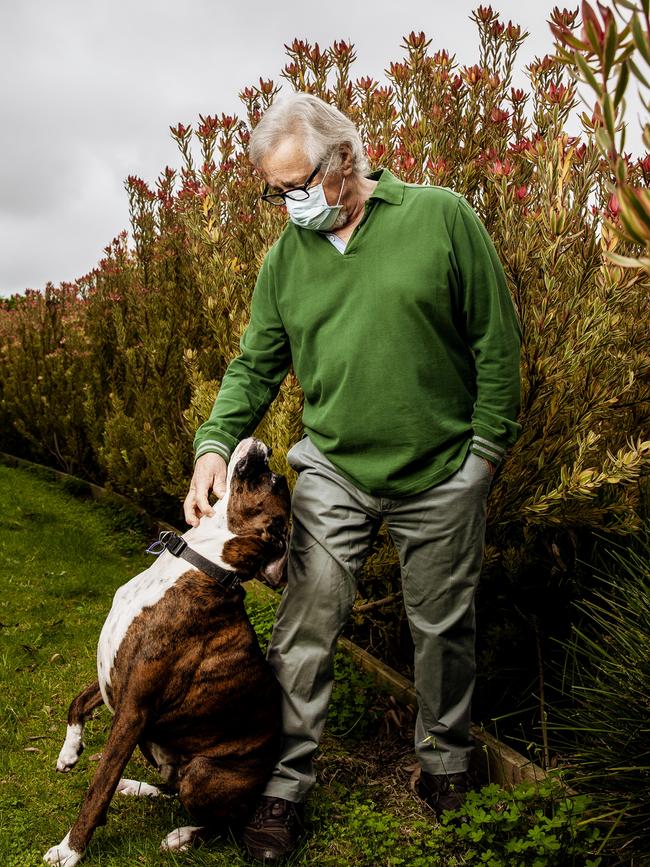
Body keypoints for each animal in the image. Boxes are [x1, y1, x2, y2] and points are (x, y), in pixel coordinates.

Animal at [43, 440, 288, 867]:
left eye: (270, 481)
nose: (266, 447)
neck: (203, 564)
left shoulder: (133, 709)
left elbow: (99, 787)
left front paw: (70, 849)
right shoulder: (116, 676)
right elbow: (79, 701)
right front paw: (69, 751)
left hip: (203, 773)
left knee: (228, 824)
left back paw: (184, 836)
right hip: (160, 750)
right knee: (172, 790)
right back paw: (139, 788)